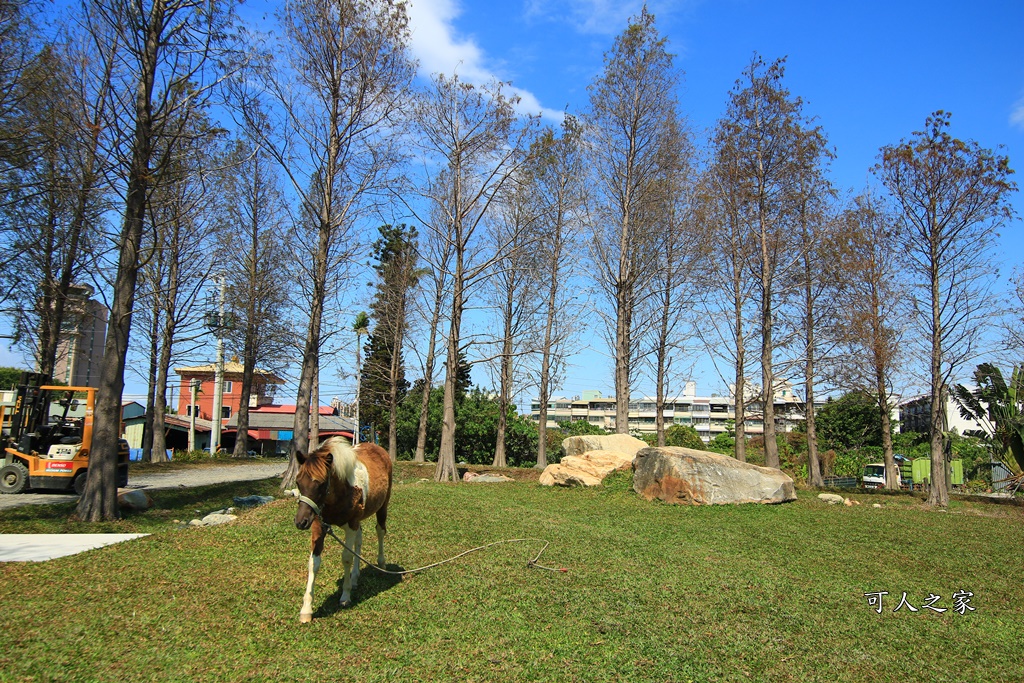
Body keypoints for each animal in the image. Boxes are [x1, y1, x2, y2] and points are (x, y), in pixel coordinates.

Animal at [296, 438, 395, 626]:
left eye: (321, 483)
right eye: (298, 482)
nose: (301, 522)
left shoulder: (350, 525)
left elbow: (346, 558)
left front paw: (345, 596)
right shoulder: (319, 525)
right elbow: (313, 563)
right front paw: (306, 609)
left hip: (383, 506)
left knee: (380, 531)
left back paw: (381, 564)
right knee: (359, 540)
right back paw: (355, 577)